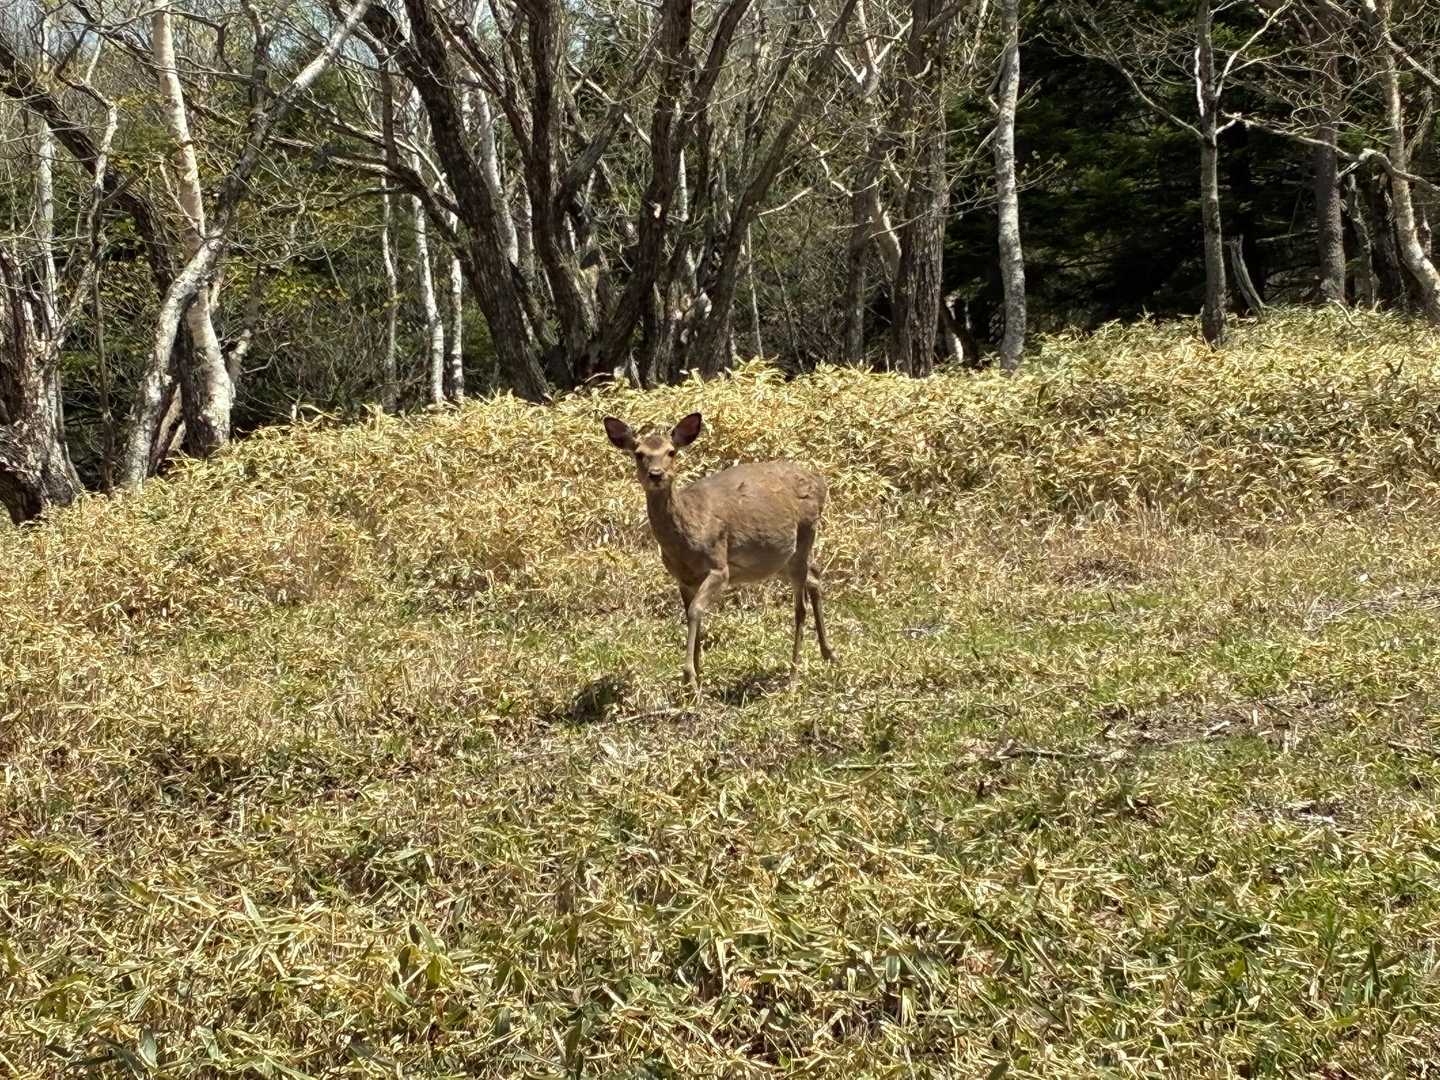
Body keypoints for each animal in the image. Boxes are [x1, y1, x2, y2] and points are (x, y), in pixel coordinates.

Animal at [603, 411, 836, 694]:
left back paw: (793, 678)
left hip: (805, 534)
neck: (685, 538)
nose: (655, 474)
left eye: (671, 452)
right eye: (638, 453)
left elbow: (695, 611)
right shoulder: (683, 579)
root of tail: (821, 483)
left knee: (800, 607)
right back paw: (829, 654)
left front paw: (689, 677)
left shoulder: (719, 567)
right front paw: (696, 676)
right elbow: (691, 614)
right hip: (779, 559)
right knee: (815, 575)